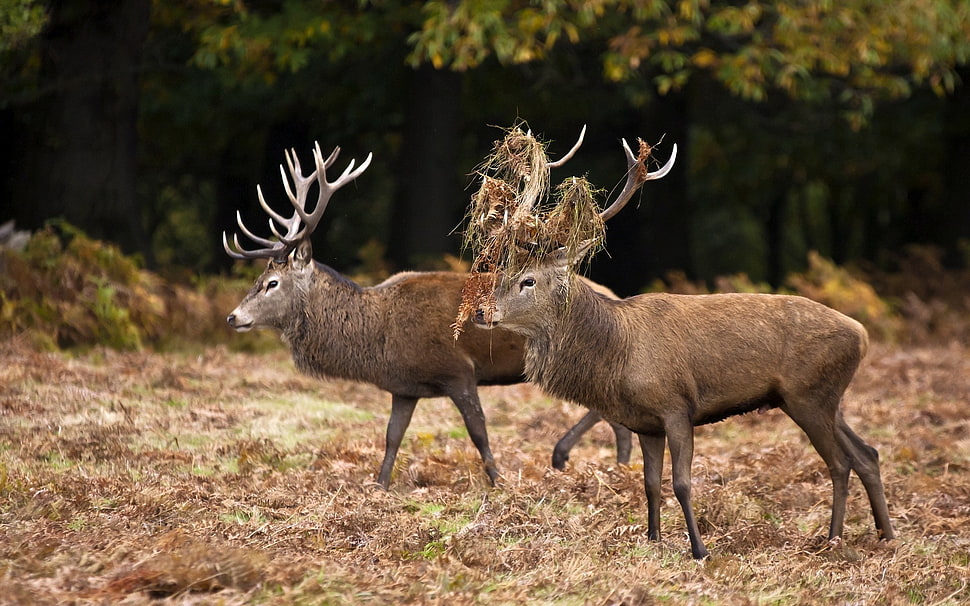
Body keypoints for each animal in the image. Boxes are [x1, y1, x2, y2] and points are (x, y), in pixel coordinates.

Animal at [222, 141, 632, 490]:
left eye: (271, 283)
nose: (233, 317)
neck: (379, 339)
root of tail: (615, 297)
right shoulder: (404, 387)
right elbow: (392, 435)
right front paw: (379, 486)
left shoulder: (458, 369)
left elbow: (478, 430)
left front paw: (499, 480)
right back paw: (617, 468)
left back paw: (567, 456)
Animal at [468, 131, 892, 560]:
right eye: (501, 273)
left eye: (529, 280)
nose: (481, 312)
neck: (617, 353)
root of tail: (861, 334)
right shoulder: (645, 423)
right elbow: (650, 483)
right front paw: (653, 539)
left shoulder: (676, 406)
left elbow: (682, 483)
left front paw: (700, 550)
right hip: (823, 398)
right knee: (867, 454)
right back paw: (886, 535)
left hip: (808, 395)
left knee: (840, 463)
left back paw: (833, 540)